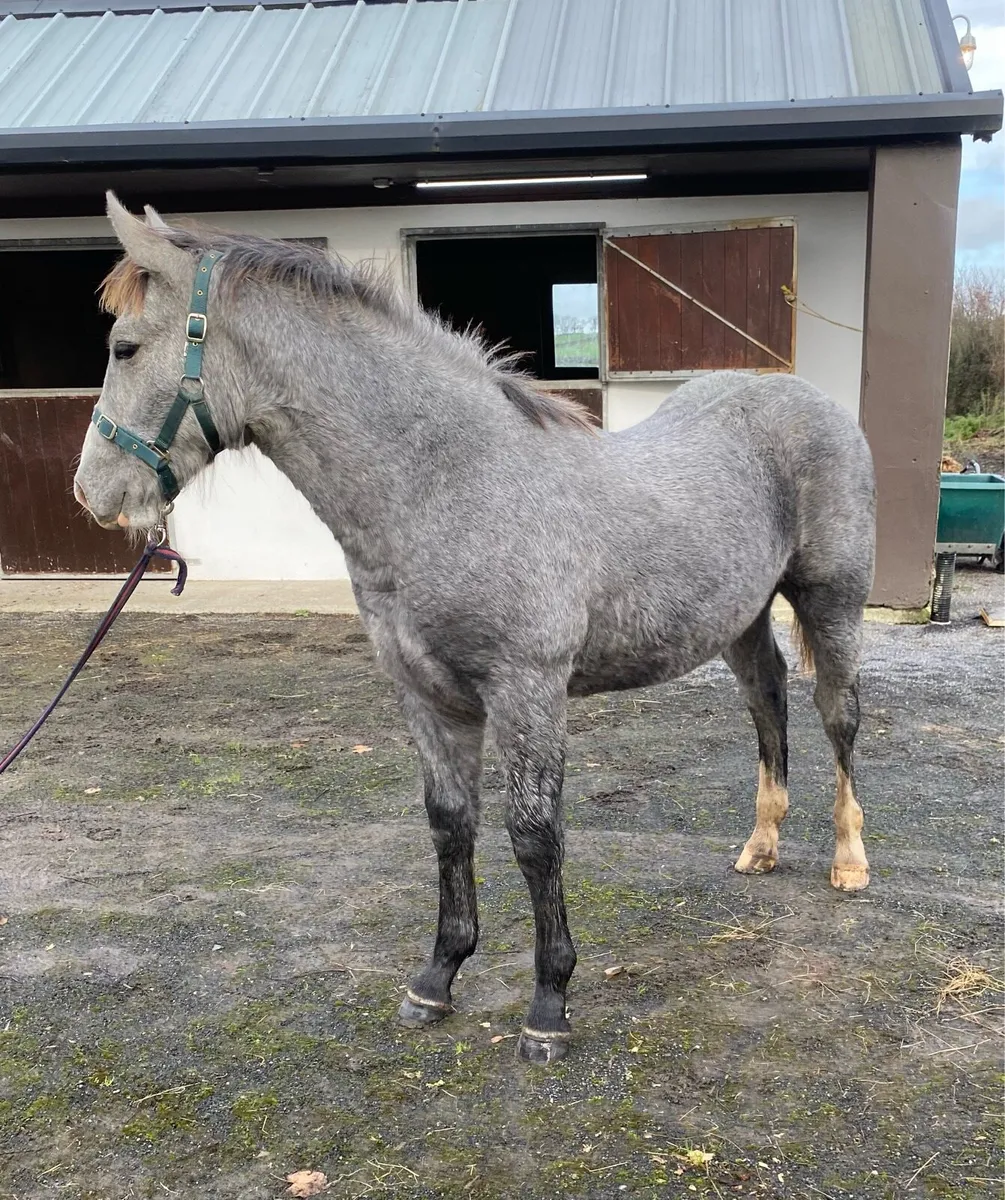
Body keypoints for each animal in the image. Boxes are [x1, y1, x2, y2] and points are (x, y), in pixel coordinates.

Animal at [74, 193, 876, 1064]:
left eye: (123, 346)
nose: (90, 492)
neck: (447, 484)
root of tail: (807, 399)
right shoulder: (427, 696)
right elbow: (450, 823)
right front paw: (437, 977)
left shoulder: (527, 691)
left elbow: (533, 836)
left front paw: (549, 1004)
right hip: (739, 617)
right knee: (767, 700)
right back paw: (761, 847)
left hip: (832, 600)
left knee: (838, 716)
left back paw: (848, 861)